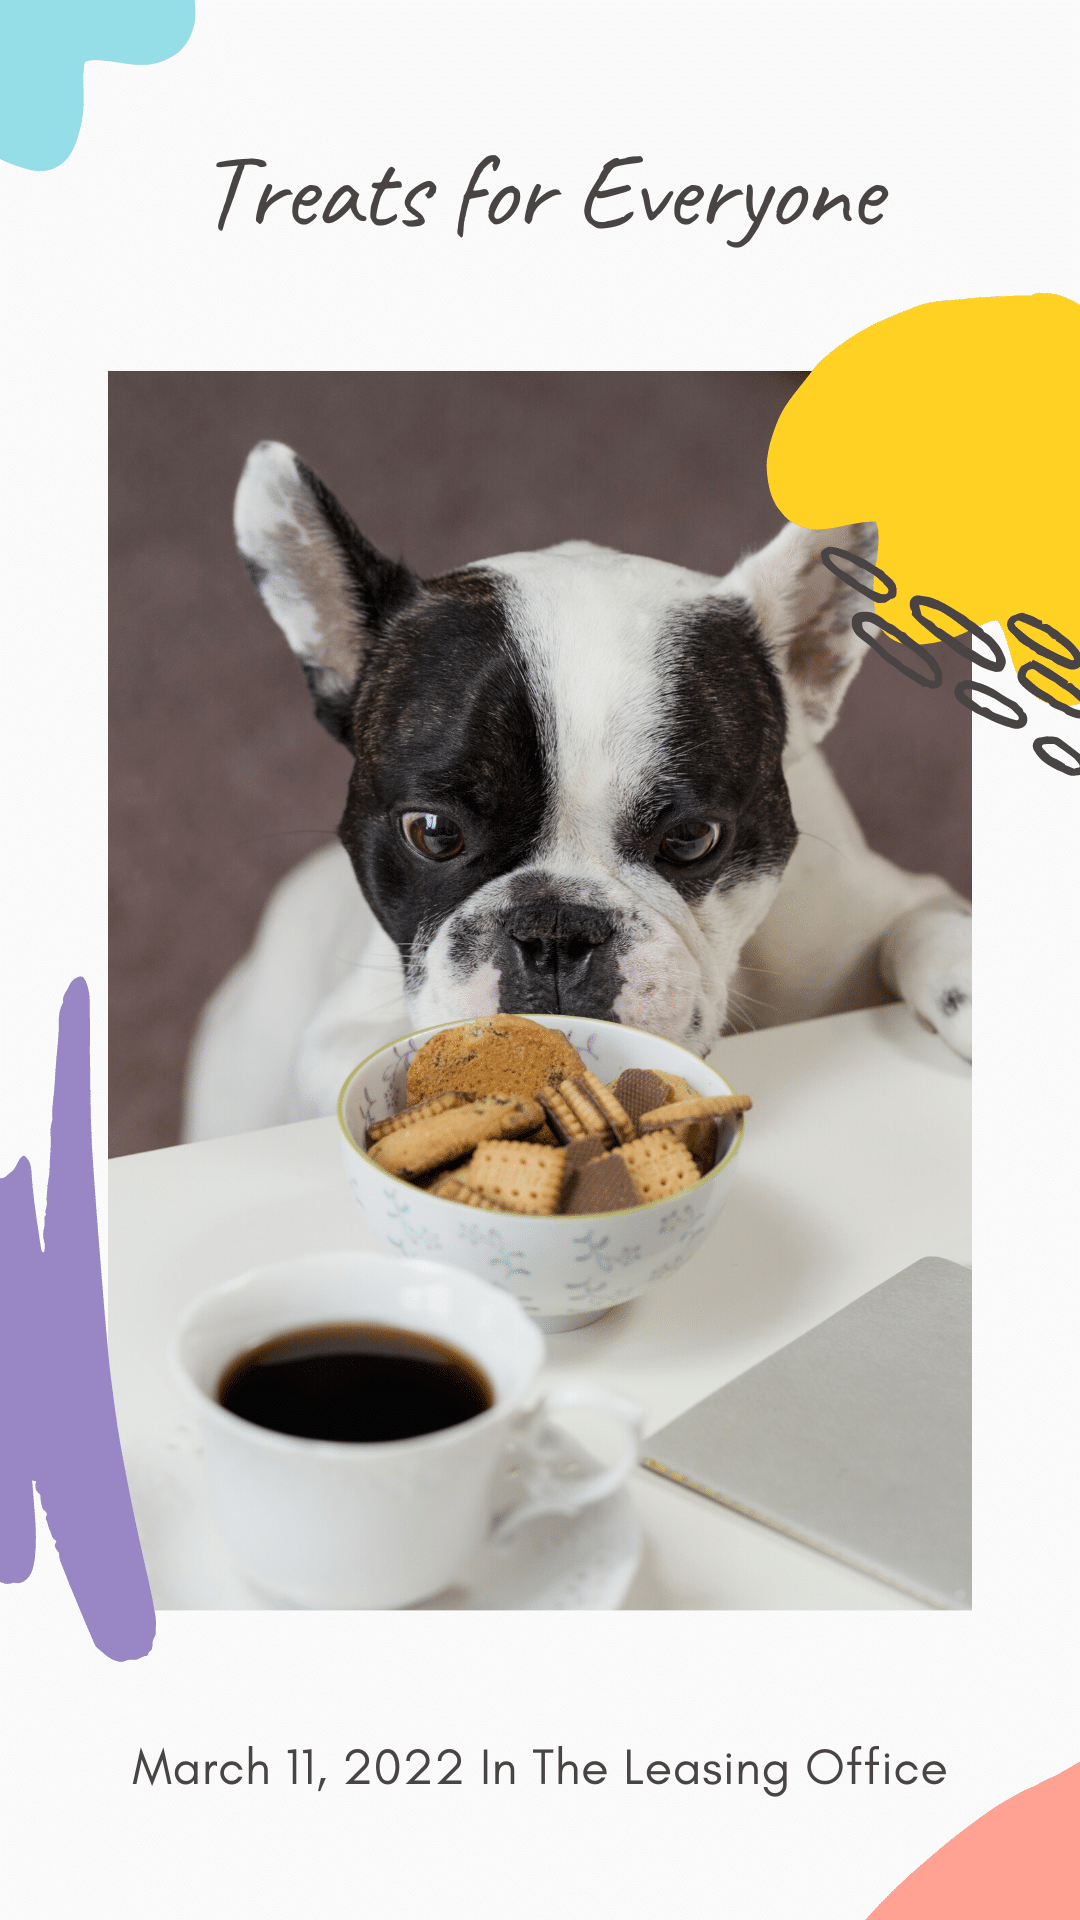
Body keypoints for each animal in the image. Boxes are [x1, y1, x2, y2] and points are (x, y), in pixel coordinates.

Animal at [180, 439, 972, 1136]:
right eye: (431, 833)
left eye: (692, 838)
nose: (554, 931)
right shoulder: (339, 1032)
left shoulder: (874, 908)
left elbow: (921, 924)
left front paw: (967, 982)